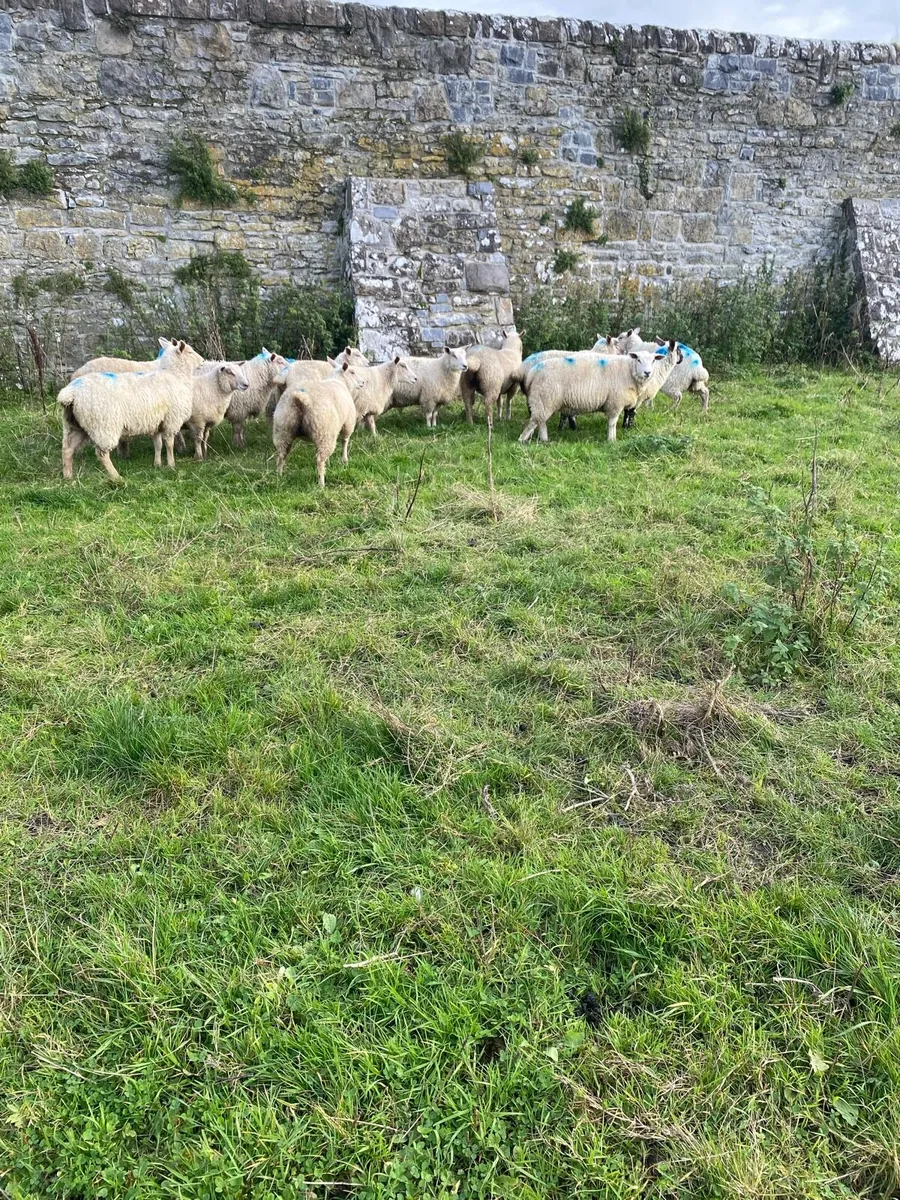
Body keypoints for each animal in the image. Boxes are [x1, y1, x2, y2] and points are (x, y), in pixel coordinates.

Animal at [58, 339, 199, 482]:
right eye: (190, 352)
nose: (203, 361)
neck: (174, 375)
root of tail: (70, 393)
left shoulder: (156, 422)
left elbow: (158, 444)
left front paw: (157, 464)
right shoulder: (171, 419)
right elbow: (169, 443)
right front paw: (171, 465)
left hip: (75, 425)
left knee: (67, 449)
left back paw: (68, 477)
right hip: (103, 425)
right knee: (101, 454)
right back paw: (116, 476)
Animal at [518, 341, 683, 444]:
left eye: (654, 360)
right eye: (639, 360)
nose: (647, 373)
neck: (629, 371)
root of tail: (531, 371)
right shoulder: (615, 402)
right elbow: (613, 422)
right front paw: (612, 440)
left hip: (544, 400)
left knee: (541, 421)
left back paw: (544, 440)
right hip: (544, 398)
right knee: (534, 421)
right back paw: (522, 440)